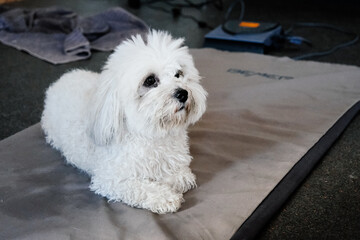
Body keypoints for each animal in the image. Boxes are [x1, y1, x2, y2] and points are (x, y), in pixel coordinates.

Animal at [40, 30, 207, 214]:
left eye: (179, 74)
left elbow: (181, 176)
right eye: (150, 80)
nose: (183, 93)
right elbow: (141, 188)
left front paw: (172, 178)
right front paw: (164, 197)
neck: (151, 133)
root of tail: (62, 78)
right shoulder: (111, 179)